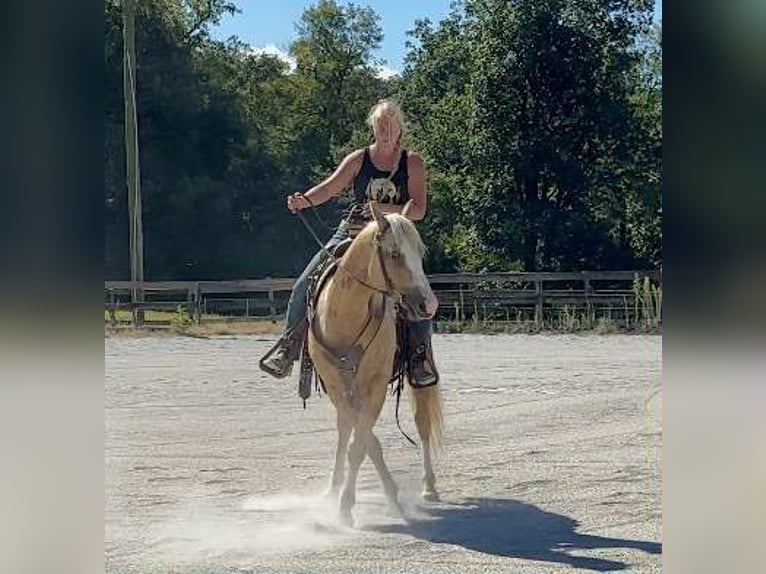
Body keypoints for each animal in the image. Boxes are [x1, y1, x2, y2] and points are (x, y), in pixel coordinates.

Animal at [308, 203, 443, 527]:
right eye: (394, 254)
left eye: (420, 253)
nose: (430, 304)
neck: (344, 314)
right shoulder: (337, 386)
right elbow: (362, 438)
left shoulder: (376, 385)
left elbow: (360, 445)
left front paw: (347, 507)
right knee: (344, 428)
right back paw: (332, 489)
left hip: (419, 377)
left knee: (422, 424)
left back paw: (429, 487)